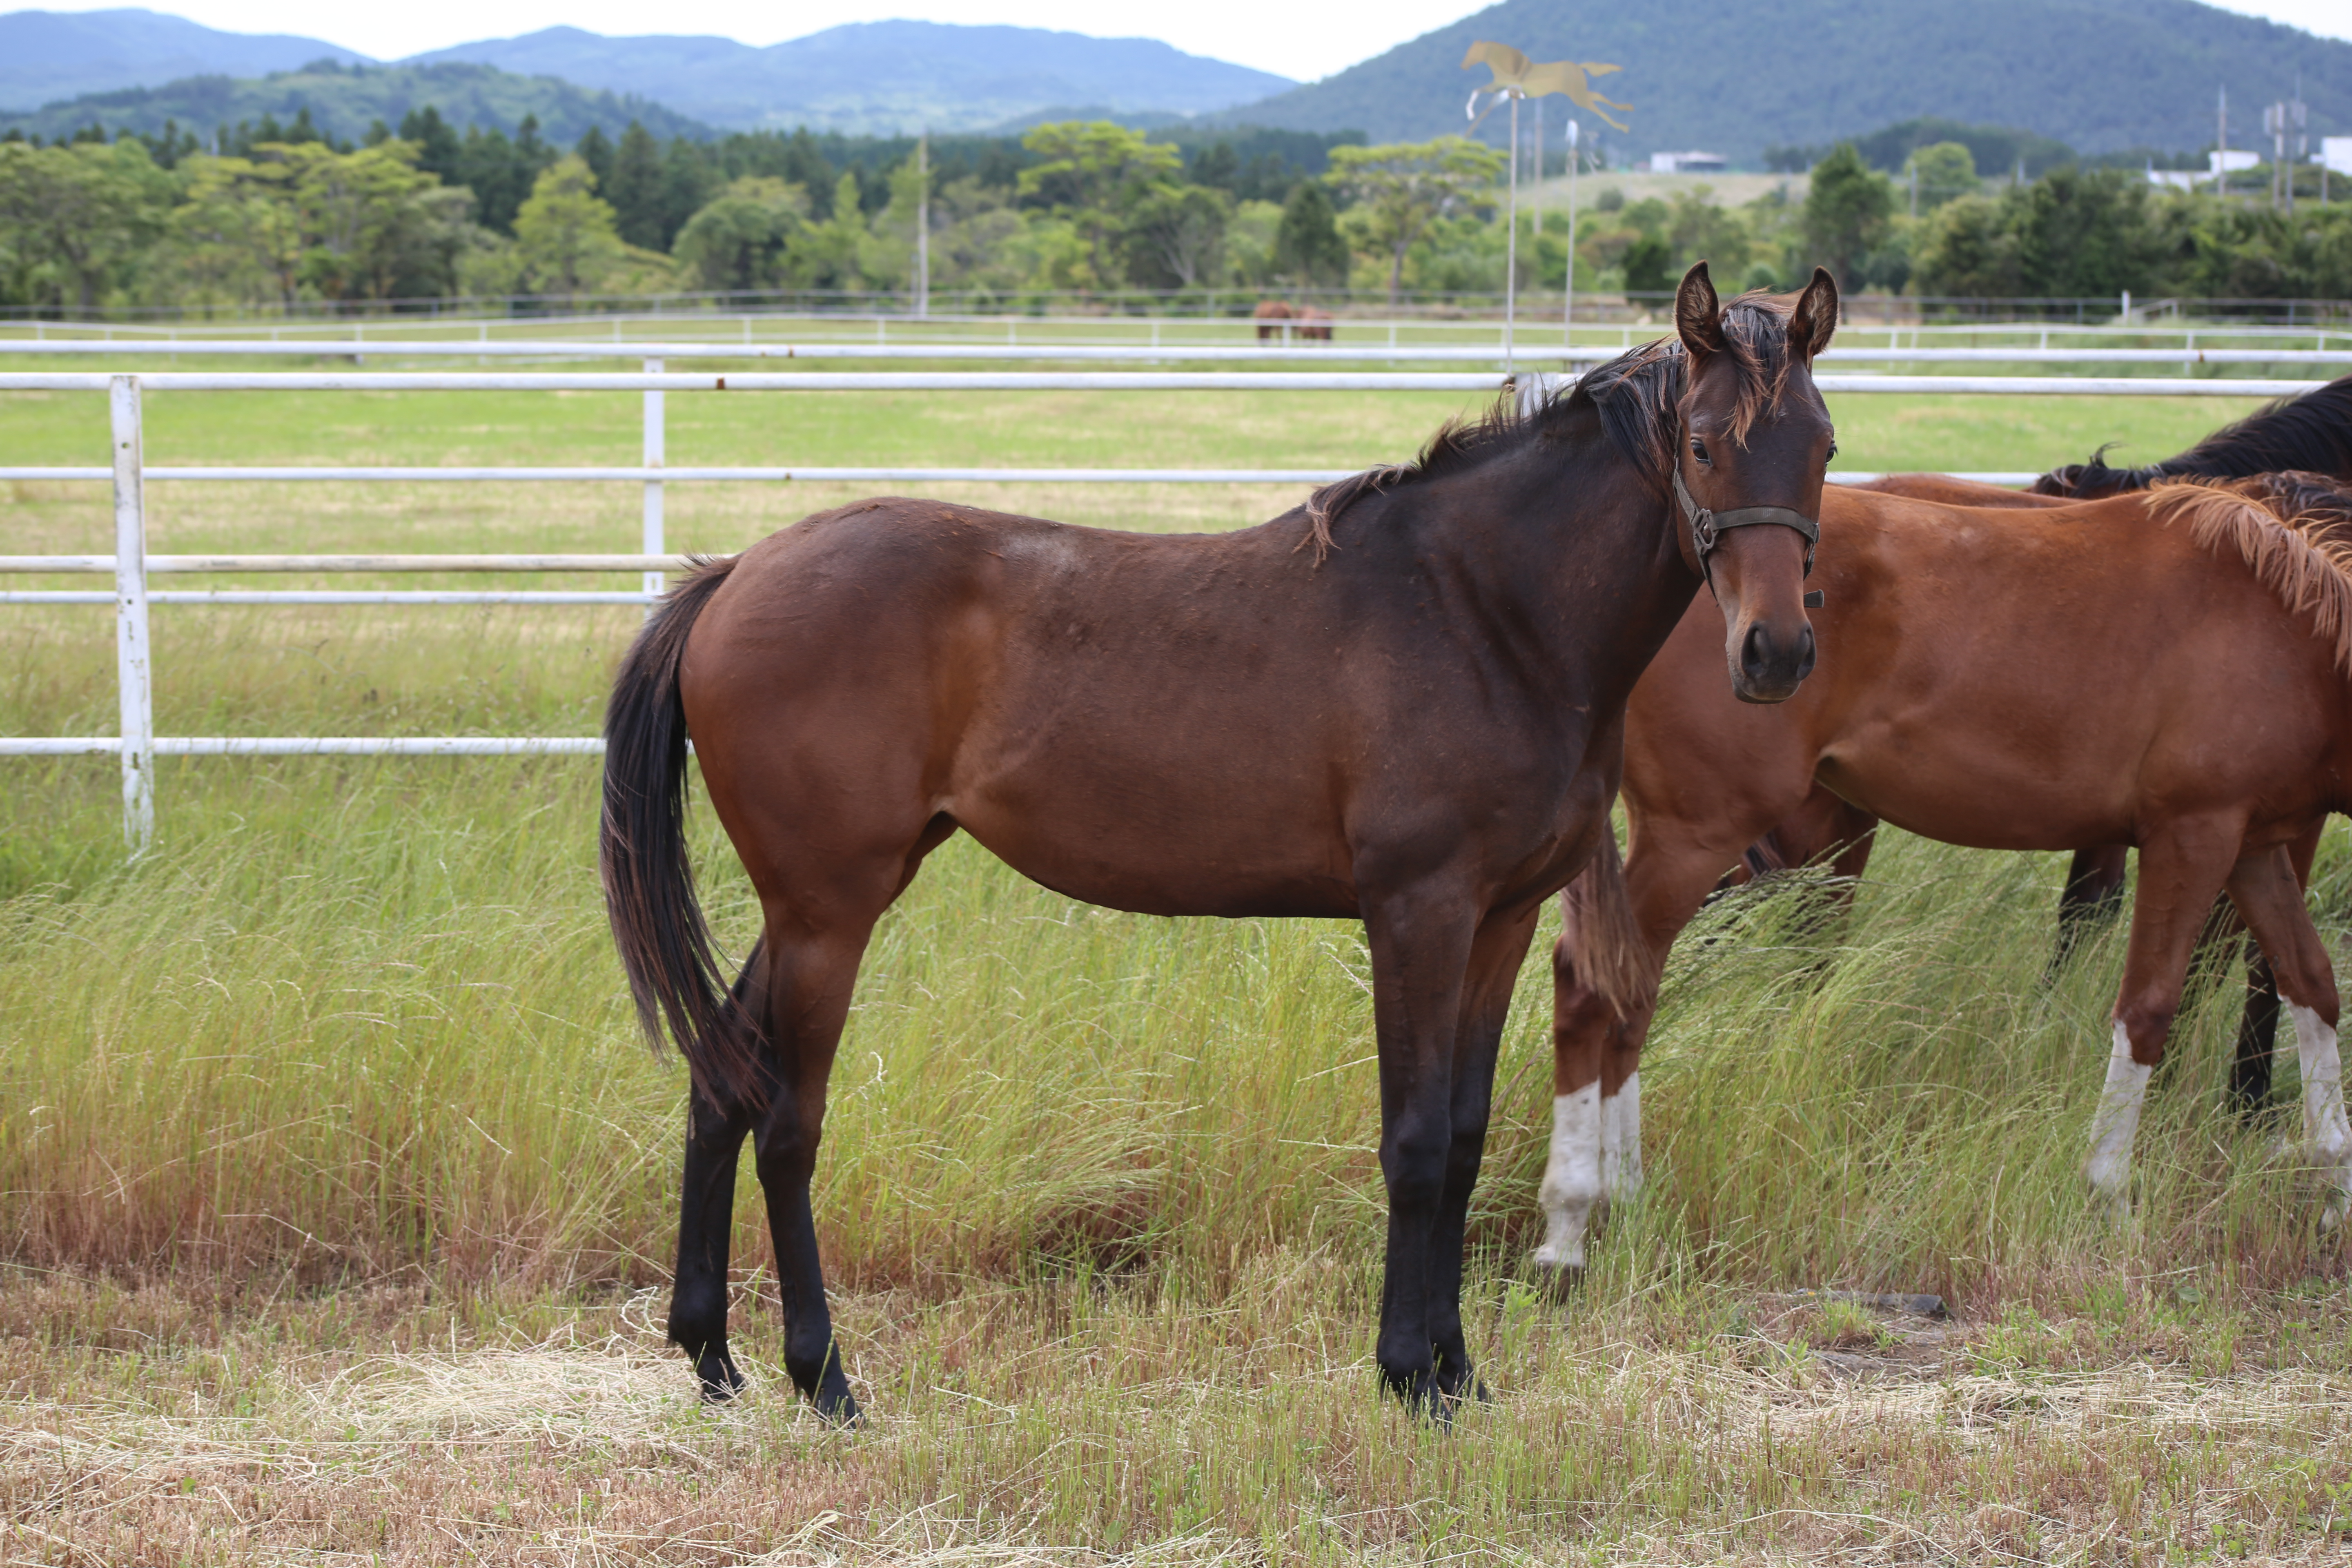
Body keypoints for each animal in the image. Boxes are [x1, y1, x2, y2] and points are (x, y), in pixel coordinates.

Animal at [602, 261, 1834, 1420]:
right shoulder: (1416, 912)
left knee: (721, 1078)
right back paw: (824, 1378)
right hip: (829, 911)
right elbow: (1414, 1142)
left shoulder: (1502, 921)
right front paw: (1406, 1374)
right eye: (1706, 445)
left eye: (1822, 446)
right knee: (787, 1122)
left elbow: (1467, 1138)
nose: (1774, 653)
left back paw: (712, 1355)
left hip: (816, 902)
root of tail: (732, 579)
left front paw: (1459, 1373)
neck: (1484, 612)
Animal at [1543, 465, 2352, 1278]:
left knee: (1634, 993)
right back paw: (1569, 1229)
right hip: (1697, 836)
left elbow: (2310, 984)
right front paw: (2110, 1194)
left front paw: (2336, 1195)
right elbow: (2149, 1011)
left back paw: (1628, 1201)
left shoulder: (2254, 849)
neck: (2285, 631)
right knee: (1591, 985)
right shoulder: (2192, 836)